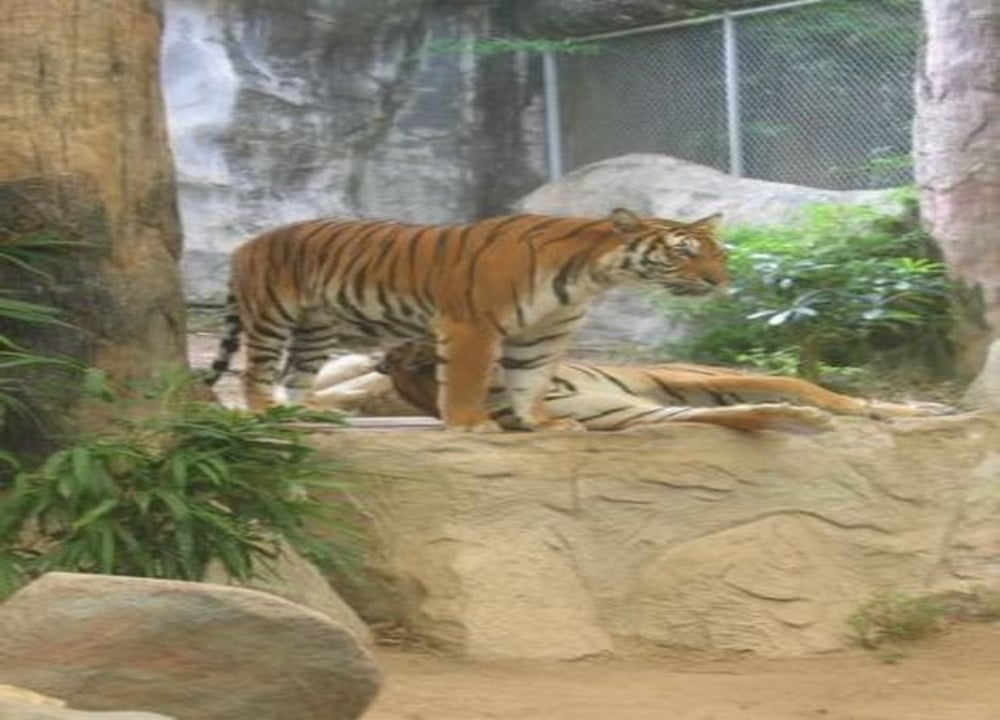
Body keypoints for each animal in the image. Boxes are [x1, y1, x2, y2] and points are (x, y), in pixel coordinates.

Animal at [203, 208, 727, 431]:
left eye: (718, 253)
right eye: (683, 253)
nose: (721, 281)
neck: (589, 275)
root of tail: (246, 245)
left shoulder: (542, 332)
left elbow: (530, 380)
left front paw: (540, 422)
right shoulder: (472, 324)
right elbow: (465, 379)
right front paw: (472, 423)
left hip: (317, 328)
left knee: (295, 376)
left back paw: (304, 414)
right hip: (272, 315)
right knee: (256, 372)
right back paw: (263, 413)